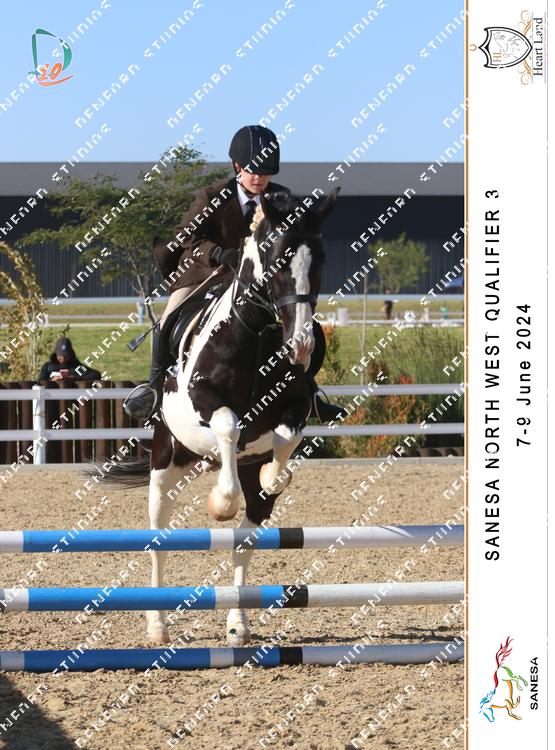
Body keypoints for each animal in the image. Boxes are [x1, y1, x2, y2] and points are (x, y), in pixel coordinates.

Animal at [114, 188, 338, 647]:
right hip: (165, 459)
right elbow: (228, 424)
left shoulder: (295, 407)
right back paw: (157, 625)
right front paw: (221, 502)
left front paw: (275, 476)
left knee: (243, 542)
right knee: (159, 537)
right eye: (277, 259)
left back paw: (238, 623)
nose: (302, 345)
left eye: (320, 260)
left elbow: (286, 436)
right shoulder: (202, 399)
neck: (256, 334)